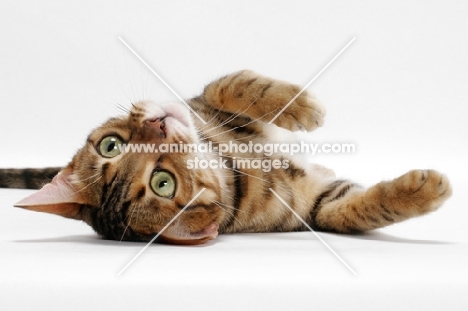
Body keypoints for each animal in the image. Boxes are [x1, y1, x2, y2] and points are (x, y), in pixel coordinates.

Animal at [0, 71, 454, 246]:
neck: (228, 161)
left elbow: (230, 84)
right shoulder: (315, 206)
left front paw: (299, 105)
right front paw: (427, 190)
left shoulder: (201, 104)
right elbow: (352, 212)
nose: (158, 125)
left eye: (109, 145)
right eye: (163, 184)